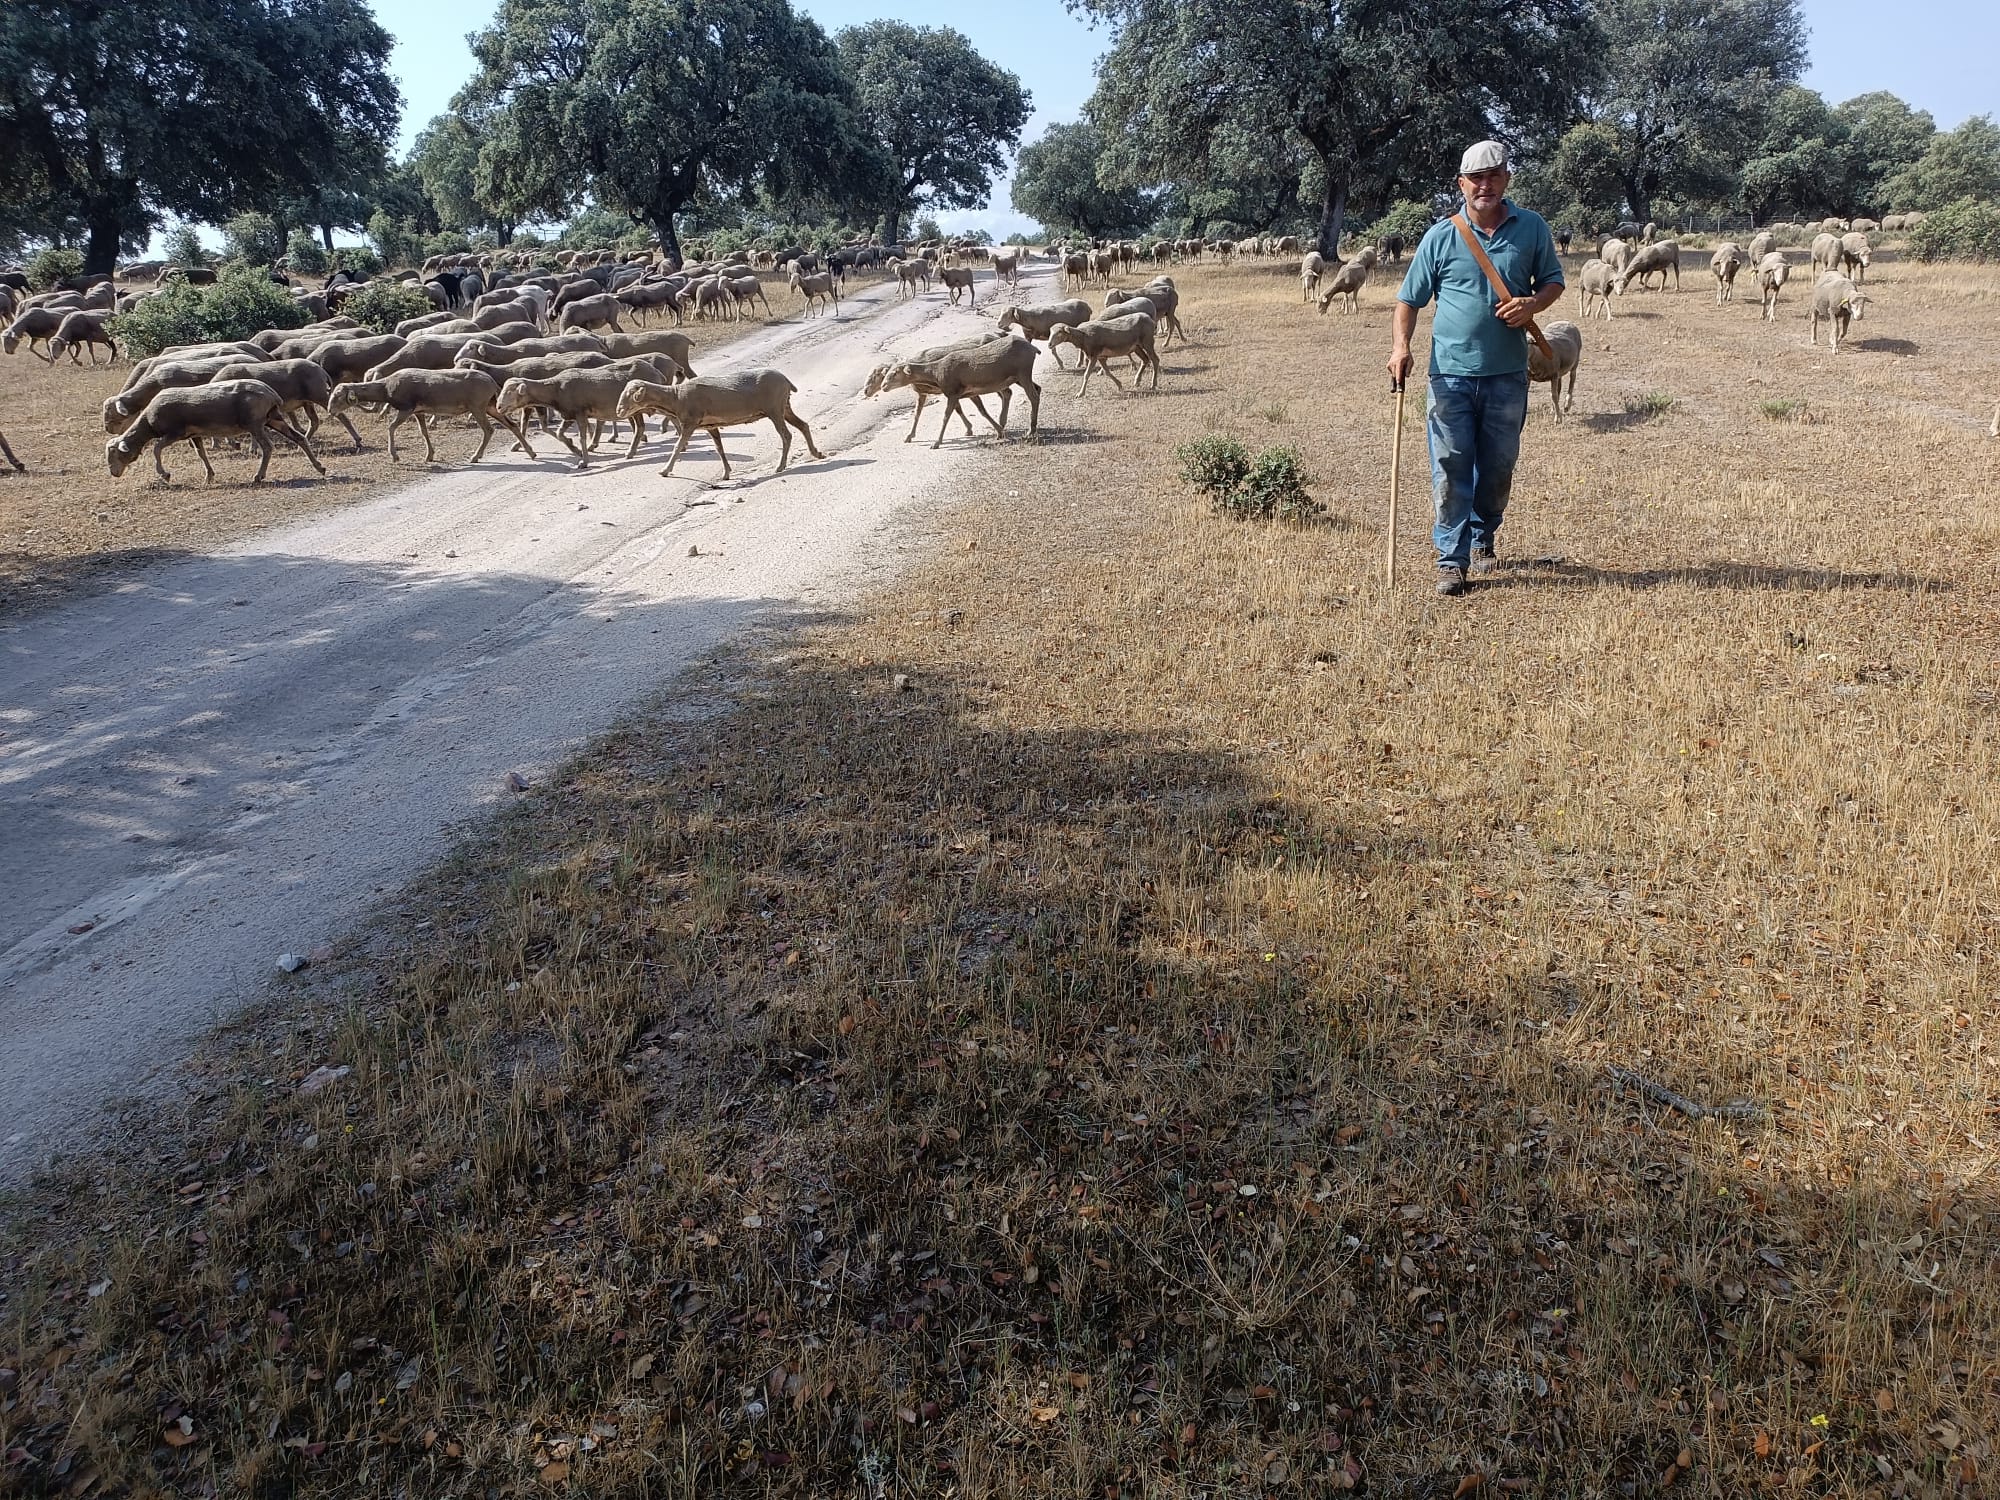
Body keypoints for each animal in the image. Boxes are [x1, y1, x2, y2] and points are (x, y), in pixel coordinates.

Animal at [107, 378, 326, 484]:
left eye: (115, 453)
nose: (113, 473)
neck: (148, 423)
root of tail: (271, 394)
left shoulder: (176, 432)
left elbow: (156, 448)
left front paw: (165, 474)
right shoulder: (194, 434)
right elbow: (201, 453)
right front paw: (209, 476)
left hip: (254, 422)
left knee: (268, 447)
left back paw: (258, 476)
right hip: (273, 418)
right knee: (298, 438)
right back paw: (319, 467)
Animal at [328, 366, 536, 464]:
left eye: (337, 396)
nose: (330, 411)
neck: (386, 388)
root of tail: (493, 383)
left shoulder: (406, 408)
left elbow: (391, 427)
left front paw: (394, 456)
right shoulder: (419, 411)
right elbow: (424, 432)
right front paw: (429, 455)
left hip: (477, 406)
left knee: (489, 430)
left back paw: (475, 456)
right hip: (491, 406)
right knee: (512, 425)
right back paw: (531, 452)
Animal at [612, 368, 824, 478]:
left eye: (630, 395)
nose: (618, 411)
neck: (676, 398)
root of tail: (786, 380)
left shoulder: (690, 422)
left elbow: (678, 446)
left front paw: (665, 470)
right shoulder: (710, 425)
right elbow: (719, 448)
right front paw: (726, 473)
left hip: (774, 409)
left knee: (786, 435)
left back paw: (780, 466)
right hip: (783, 406)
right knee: (803, 425)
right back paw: (817, 453)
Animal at [864, 340, 1040, 452]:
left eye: (894, 373)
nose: (884, 386)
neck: (935, 373)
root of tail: (1033, 348)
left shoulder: (953, 392)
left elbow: (946, 416)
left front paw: (936, 442)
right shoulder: (959, 393)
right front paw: (998, 431)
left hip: (1023, 372)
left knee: (1033, 396)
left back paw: (1030, 430)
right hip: (1015, 377)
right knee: (1029, 391)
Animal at [1040, 312, 1168, 396]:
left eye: (1060, 332)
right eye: (1050, 332)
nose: (1049, 344)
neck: (1083, 336)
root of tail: (1149, 319)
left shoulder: (1094, 355)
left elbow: (1086, 374)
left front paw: (1080, 393)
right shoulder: (1101, 357)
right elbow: (1107, 372)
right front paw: (1119, 385)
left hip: (1147, 341)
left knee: (1155, 359)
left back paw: (1153, 384)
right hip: (1136, 346)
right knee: (1145, 359)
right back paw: (1137, 381)